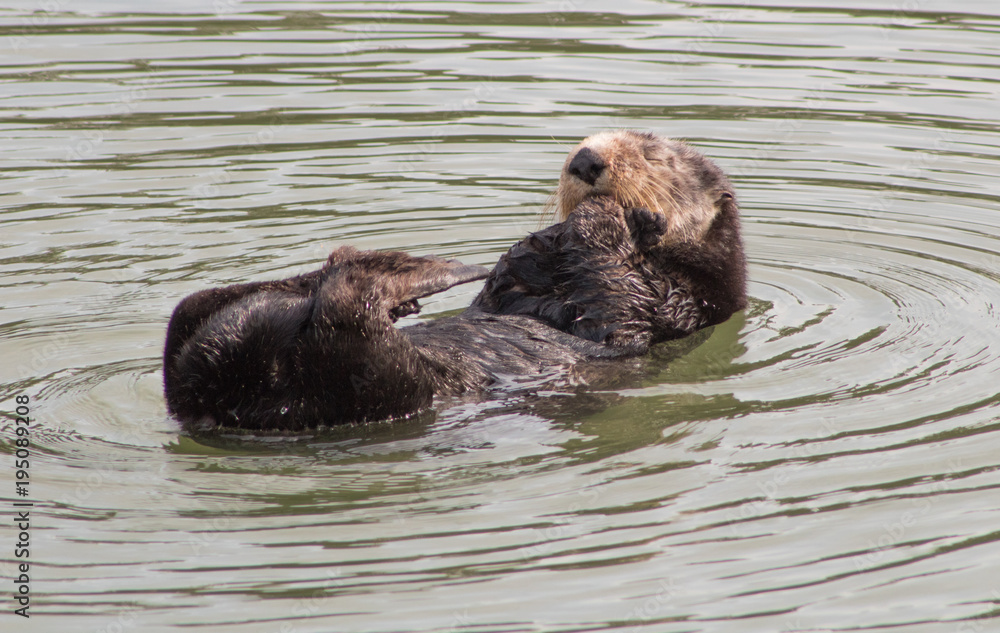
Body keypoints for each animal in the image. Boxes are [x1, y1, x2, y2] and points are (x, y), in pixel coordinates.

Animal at [163, 130, 746, 431]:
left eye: (653, 155)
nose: (585, 158)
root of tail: (236, 404)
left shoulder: (678, 303)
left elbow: (616, 301)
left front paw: (611, 218)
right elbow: (509, 278)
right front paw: (538, 242)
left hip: (378, 386)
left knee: (347, 313)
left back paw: (405, 277)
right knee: (197, 308)